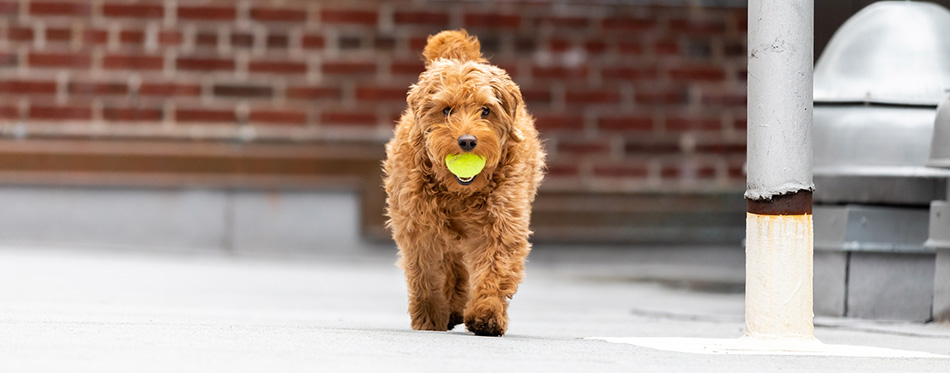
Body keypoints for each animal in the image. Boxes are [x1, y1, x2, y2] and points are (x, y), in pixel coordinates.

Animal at [384, 30, 548, 336]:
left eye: (485, 110)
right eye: (447, 110)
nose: (468, 141)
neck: (459, 192)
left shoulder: (503, 221)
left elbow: (496, 268)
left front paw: (487, 314)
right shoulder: (418, 225)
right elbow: (425, 273)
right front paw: (430, 316)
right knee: (451, 265)